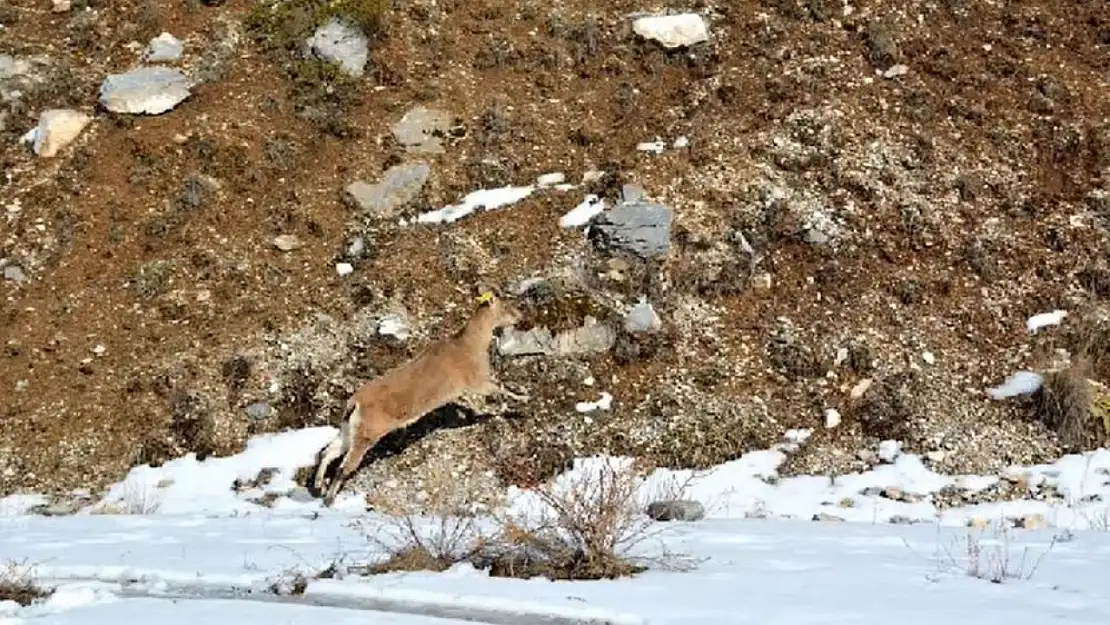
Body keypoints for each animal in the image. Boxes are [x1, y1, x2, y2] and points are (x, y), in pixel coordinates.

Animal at [313, 295, 528, 508]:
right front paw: (522, 398)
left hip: (349, 430)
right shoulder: (477, 380)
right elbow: (499, 388)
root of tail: (354, 404)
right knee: (344, 466)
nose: (520, 316)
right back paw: (329, 498)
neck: (470, 344)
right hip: (365, 436)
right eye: (507, 307)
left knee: (328, 452)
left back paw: (318, 485)